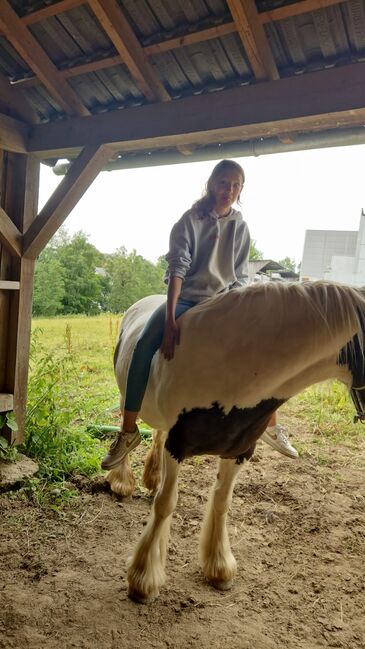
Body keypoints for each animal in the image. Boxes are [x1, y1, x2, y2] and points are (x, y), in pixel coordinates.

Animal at [105, 282, 364, 604]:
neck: (234, 368)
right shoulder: (178, 447)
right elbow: (166, 504)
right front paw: (143, 580)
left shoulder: (239, 451)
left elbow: (221, 502)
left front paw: (219, 568)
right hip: (126, 394)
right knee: (127, 426)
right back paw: (122, 480)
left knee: (158, 435)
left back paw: (151, 478)